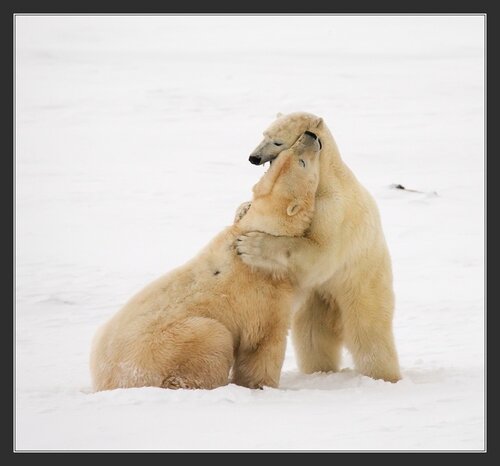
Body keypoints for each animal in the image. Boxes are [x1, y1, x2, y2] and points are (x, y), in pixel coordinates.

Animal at [90, 132, 322, 394]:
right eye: (301, 162)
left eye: (284, 155)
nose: (311, 135)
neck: (261, 227)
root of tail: (107, 382)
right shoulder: (264, 297)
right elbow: (262, 345)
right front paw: (264, 386)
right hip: (171, 344)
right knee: (214, 338)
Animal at [235, 113, 402, 382]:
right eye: (264, 134)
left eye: (278, 141)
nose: (253, 157)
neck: (326, 175)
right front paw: (243, 209)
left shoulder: (333, 209)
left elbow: (320, 251)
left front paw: (251, 244)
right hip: (316, 297)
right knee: (312, 335)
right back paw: (319, 370)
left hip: (363, 281)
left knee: (369, 333)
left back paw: (383, 375)